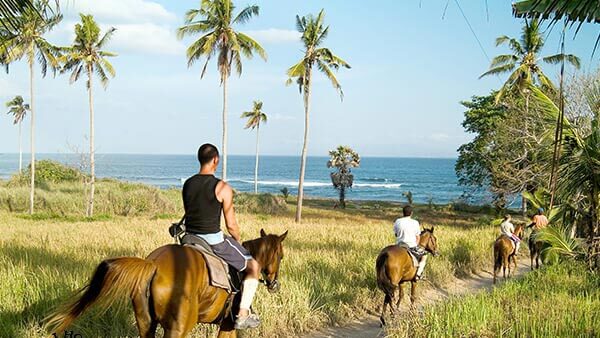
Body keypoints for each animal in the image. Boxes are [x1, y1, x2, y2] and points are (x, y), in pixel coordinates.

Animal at [45, 228, 288, 336]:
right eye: (281, 256)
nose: (274, 284)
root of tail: (153, 264)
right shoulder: (228, 324)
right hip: (178, 328)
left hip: (146, 323)